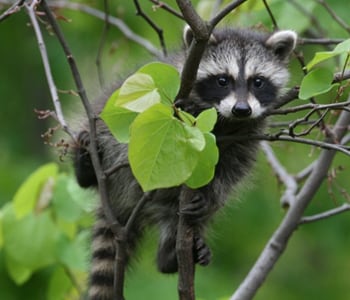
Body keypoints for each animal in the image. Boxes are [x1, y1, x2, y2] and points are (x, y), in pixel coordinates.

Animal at [73, 27, 296, 298]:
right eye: (223, 80)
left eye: (258, 81)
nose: (242, 109)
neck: (224, 120)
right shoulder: (170, 98)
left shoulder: (248, 134)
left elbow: (232, 171)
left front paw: (209, 194)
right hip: (107, 134)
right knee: (107, 144)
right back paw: (86, 166)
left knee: (188, 216)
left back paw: (170, 256)